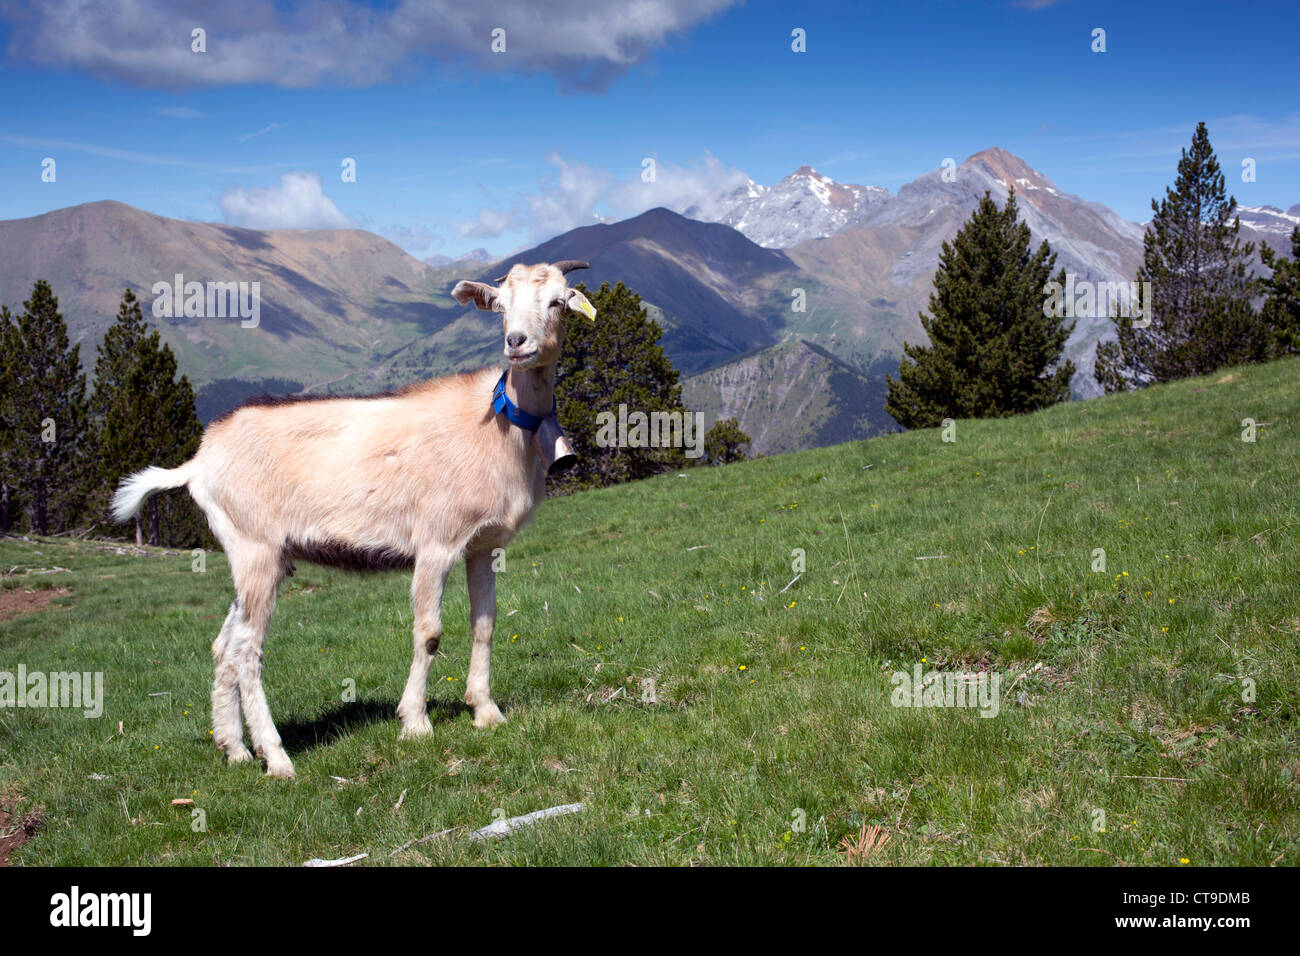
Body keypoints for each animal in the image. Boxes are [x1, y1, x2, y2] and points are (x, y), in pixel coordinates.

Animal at [113, 260, 598, 780]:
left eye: (557, 302)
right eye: (501, 306)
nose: (517, 342)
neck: (499, 425)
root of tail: (199, 461)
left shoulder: (484, 545)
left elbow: (484, 623)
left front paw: (486, 712)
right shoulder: (436, 541)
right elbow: (429, 632)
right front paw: (415, 722)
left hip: (254, 556)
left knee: (223, 646)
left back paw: (235, 749)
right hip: (256, 548)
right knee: (247, 651)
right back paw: (276, 756)